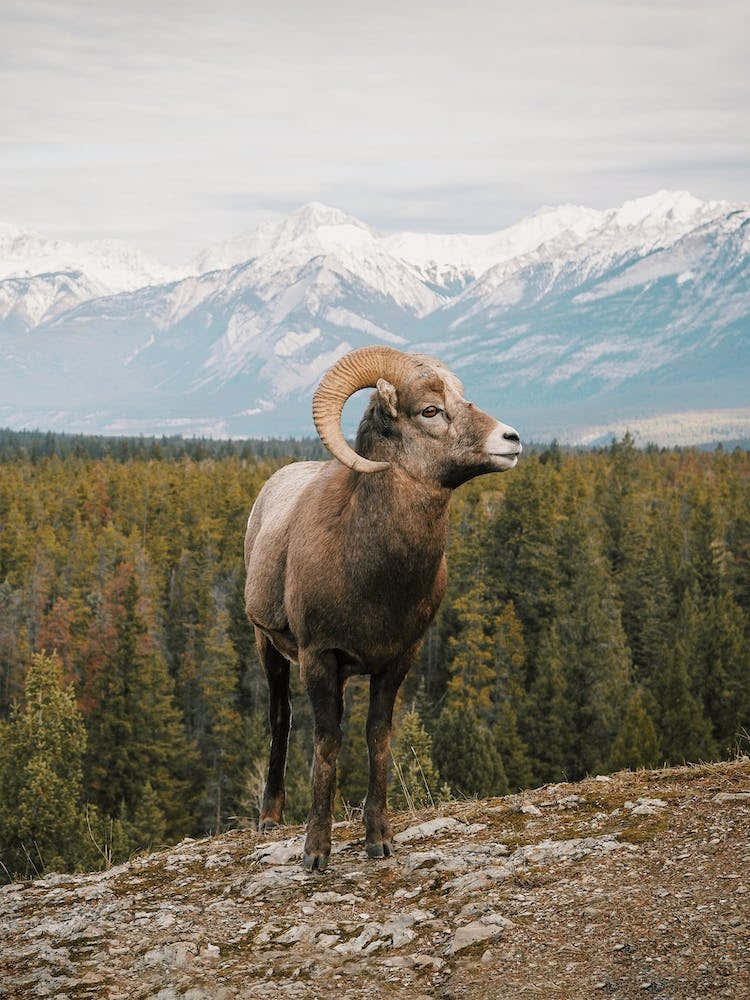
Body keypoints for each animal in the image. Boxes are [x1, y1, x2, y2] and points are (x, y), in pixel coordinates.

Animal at [244, 345, 521, 870]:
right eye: (430, 410)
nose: (511, 439)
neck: (371, 572)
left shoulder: (396, 660)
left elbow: (377, 738)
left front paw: (379, 840)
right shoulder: (319, 658)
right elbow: (326, 742)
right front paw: (316, 853)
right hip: (268, 648)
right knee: (279, 719)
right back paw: (269, 819)